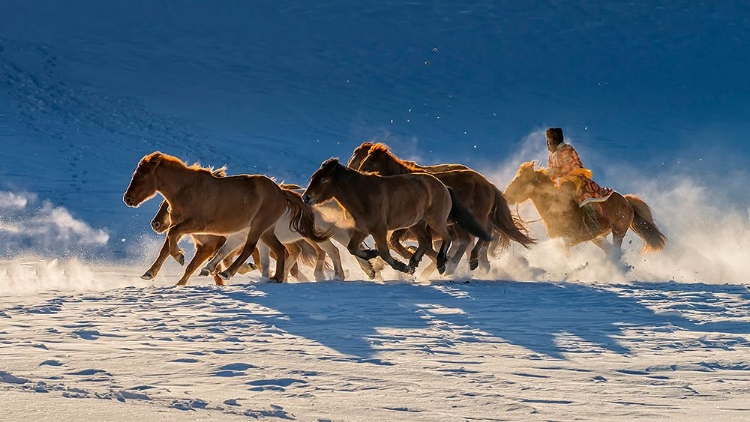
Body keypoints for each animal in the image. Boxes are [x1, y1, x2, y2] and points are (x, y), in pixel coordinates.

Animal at [300, 157, 494, 274]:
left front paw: (400, 266)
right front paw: (372, 254)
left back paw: (440, 263)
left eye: (323, 180)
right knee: (425, 242)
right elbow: (352, 248)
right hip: (417, 224)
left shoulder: (379, 229)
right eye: (313, 177)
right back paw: (414, 262)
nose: (306, 198)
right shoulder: (363, 230)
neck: (362, 194)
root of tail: (444, 186)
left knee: (448, 237)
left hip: (435, 220)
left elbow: (385, 252)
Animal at [354, 143, 536, 274]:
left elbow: (397, 242)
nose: (359, 175)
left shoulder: (409, 226)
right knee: (478, 238)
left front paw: (416, 258)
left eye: (371, 162)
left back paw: (459, 264)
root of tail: (488, 185)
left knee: (477, 237)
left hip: (471, 219)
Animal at [502, 161, 668, 260]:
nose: (505, 196)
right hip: (598, 237)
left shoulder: (568, 241)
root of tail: (626, 201)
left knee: (615, 252)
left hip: (618, 231)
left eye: (521, 180)